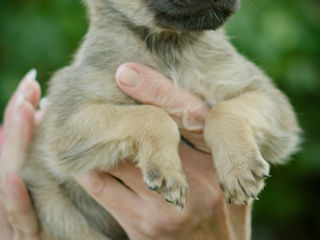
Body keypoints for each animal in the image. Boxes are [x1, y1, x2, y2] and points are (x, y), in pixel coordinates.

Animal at [20, 0, 300, 240]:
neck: (169, 47)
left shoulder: (268, 99)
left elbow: (223, 111)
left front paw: (239, 167)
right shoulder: (68, 118)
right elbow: (153, 114)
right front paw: (167, 169)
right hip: (58, 209)